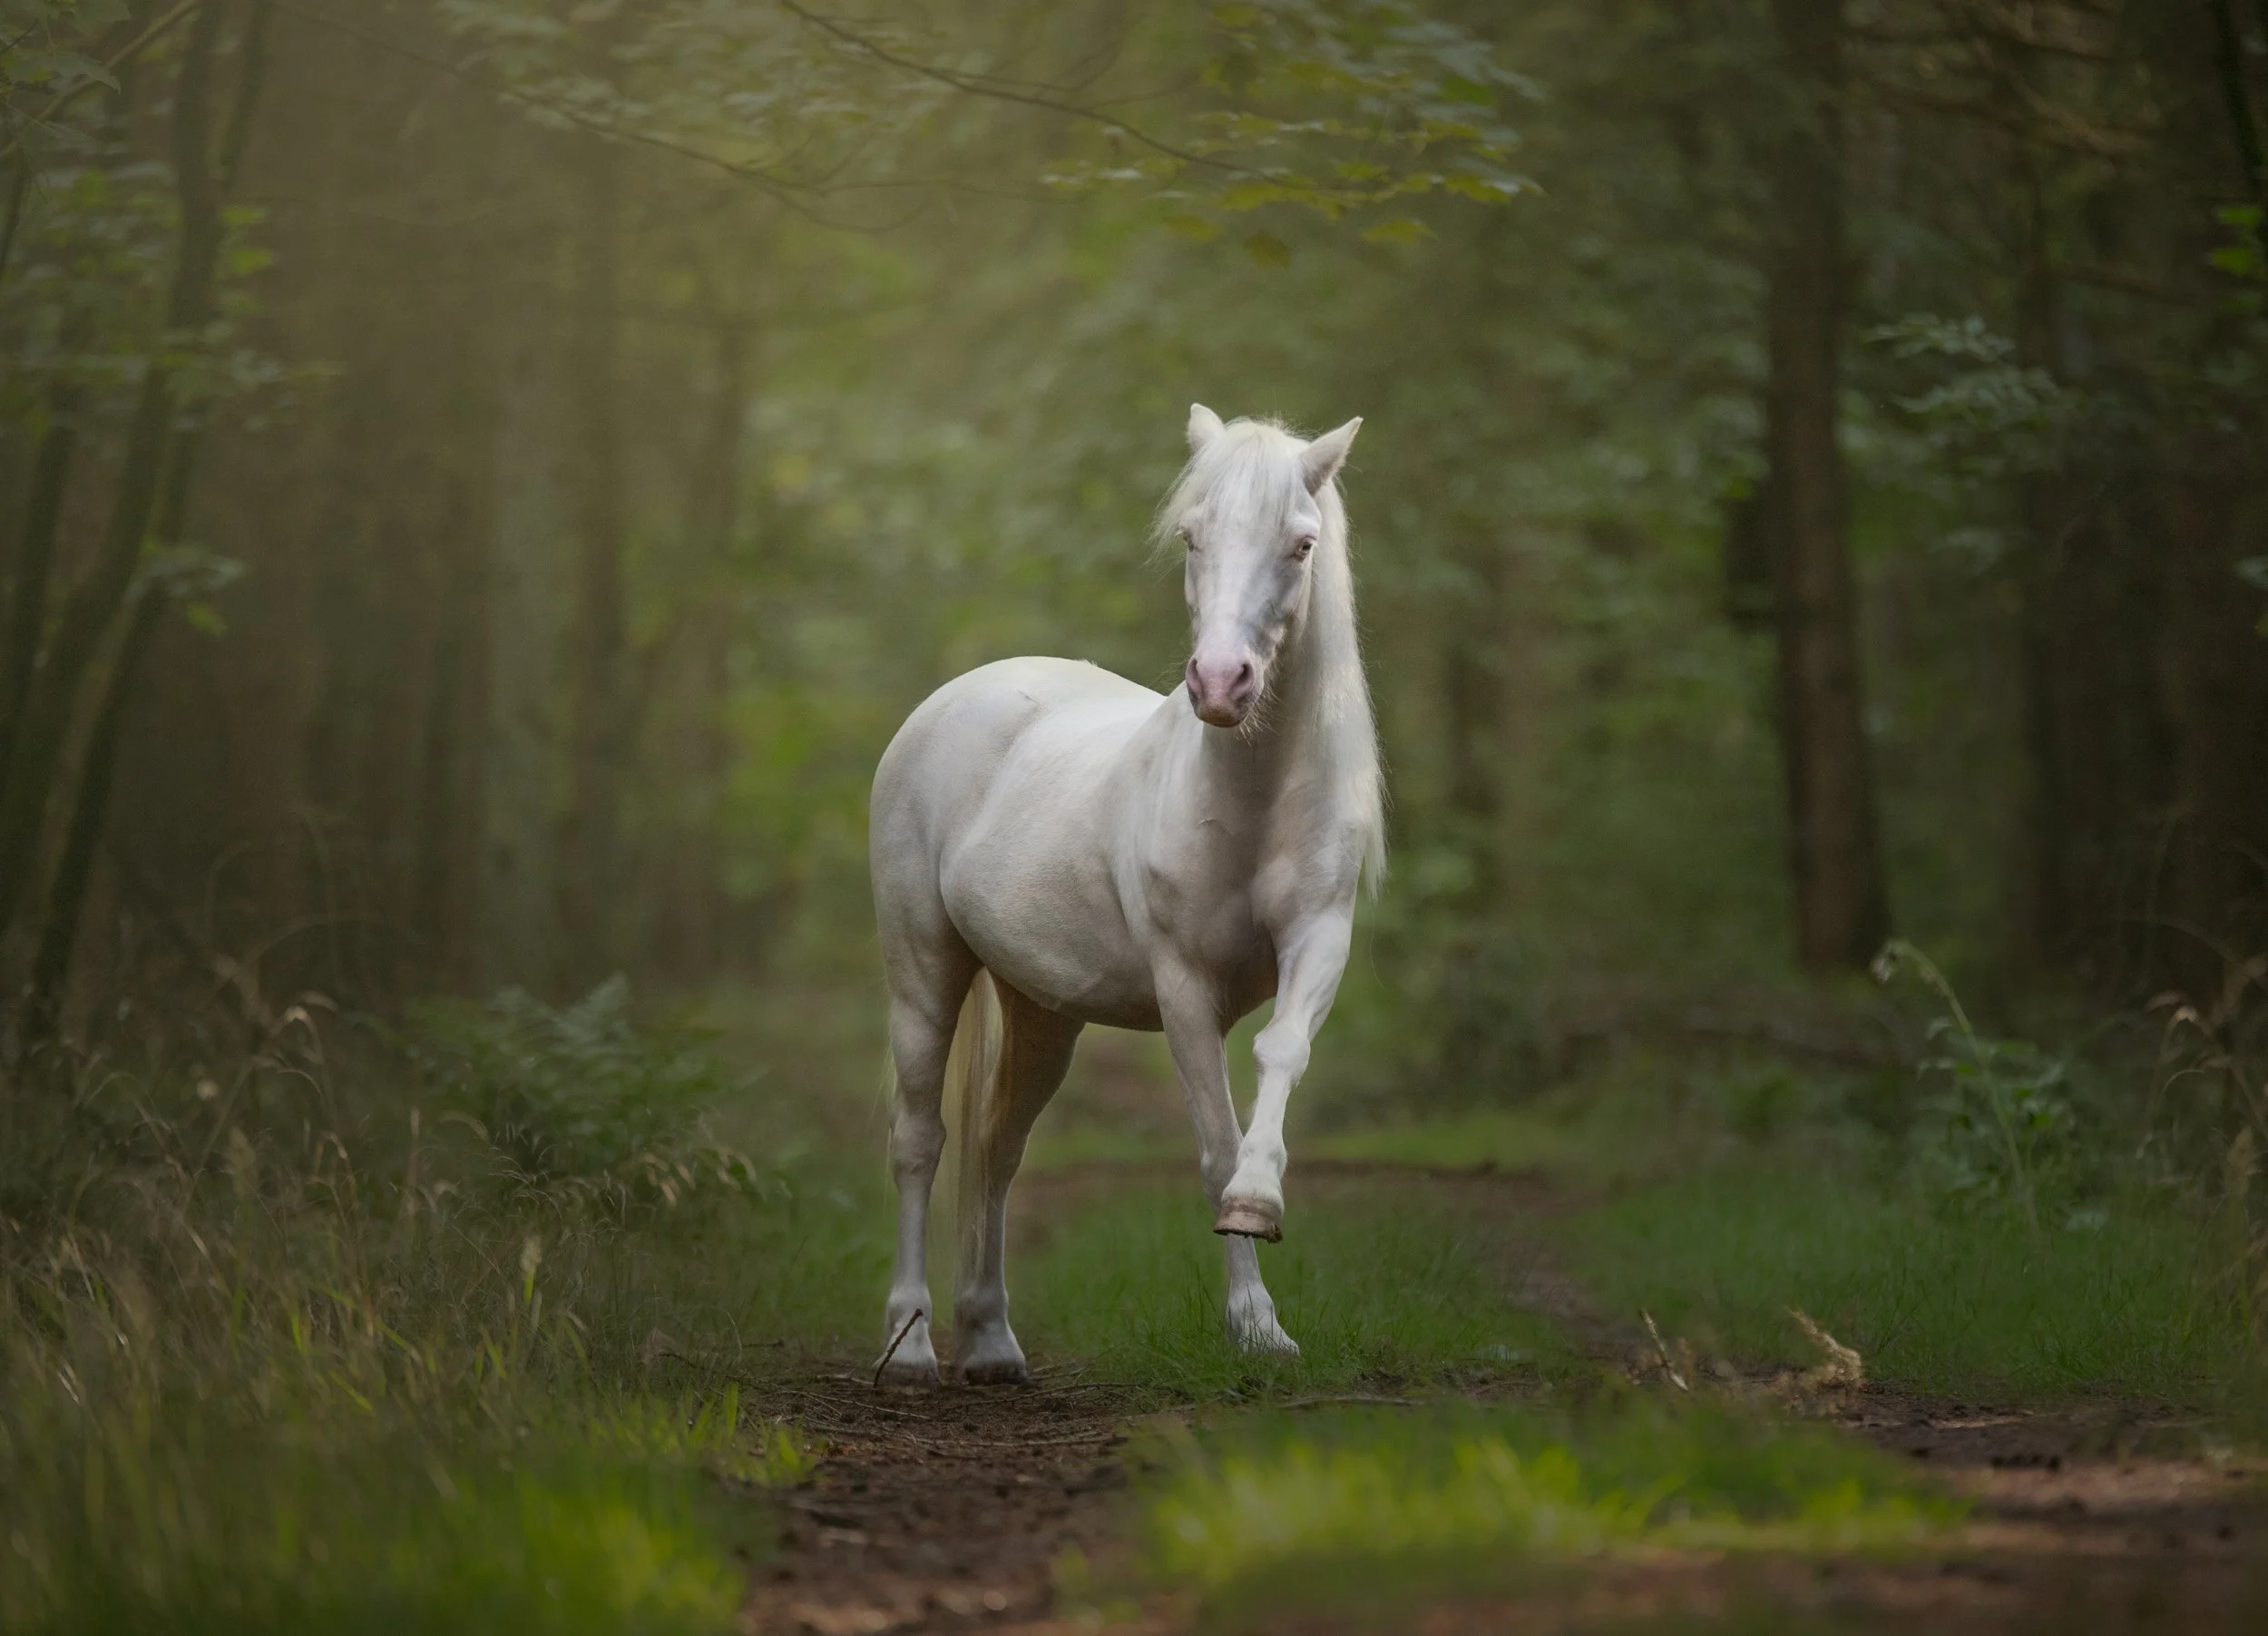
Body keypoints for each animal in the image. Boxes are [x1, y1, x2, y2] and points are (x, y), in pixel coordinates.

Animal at [867, 404, 1384, 1386]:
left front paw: (1260, 1204)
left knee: (997, 1148)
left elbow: (1282, 1055)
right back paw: (910, 1342)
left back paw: (990, 1340)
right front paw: (1254, 1321)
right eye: (1192, 534)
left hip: (1041, 1011)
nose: (1220, 683)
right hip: (921, 970)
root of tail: (954, 697)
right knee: (919, 1141)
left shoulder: (1320, 944)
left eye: (1300, 544)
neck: (1251, 802)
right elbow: (1214, 1141)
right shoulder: (1184, 986)